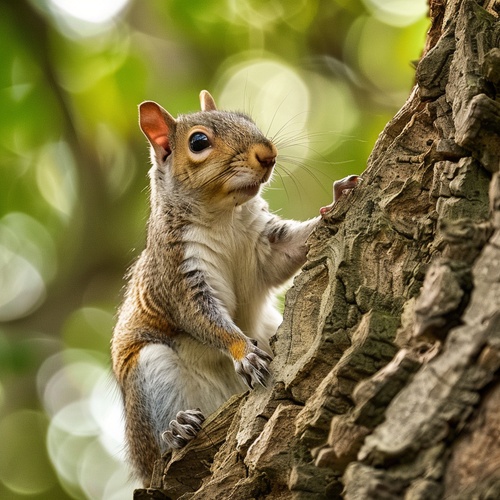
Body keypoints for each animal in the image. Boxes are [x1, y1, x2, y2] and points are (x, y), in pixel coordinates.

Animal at [110, 90, 360, 484]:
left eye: (247, 119)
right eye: (198, 142)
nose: (267, 152)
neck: (224, 216)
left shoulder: (267, 244)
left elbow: (288, 253)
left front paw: (337, 199)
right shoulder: (179, 274)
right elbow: (204, 319)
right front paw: (245, 352)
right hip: (149, 375)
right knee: (158, 448)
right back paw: (176, 429)